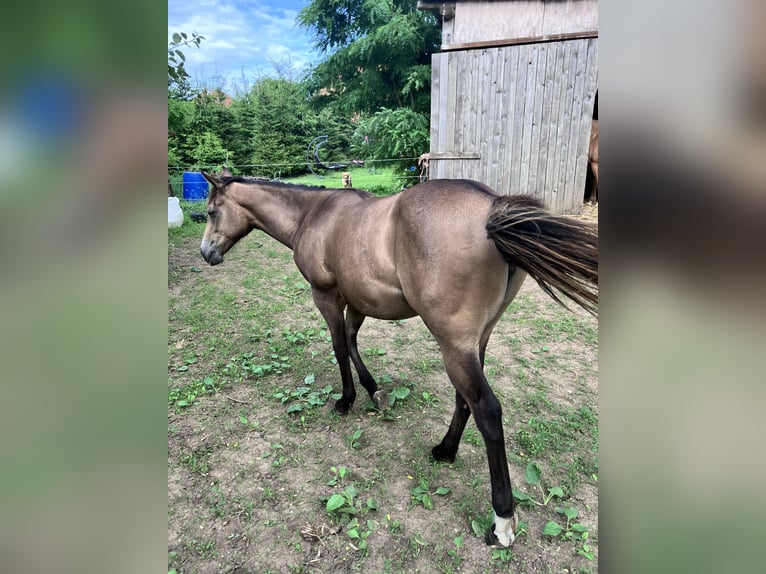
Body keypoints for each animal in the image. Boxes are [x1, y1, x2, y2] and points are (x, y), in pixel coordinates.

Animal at [198, 173, 598, 548]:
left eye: (212, 211)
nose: (206, 252)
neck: (315, 214)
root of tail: (491, 207)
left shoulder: (326, 297)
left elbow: (339, 346)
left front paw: (346, 399)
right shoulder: (358, 301)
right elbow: (352, 342)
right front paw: (374, 390)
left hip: (454, 344)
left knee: (486, 409)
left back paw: (501, 521)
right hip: (475, 341)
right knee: (464, 399)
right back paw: (445, 450)